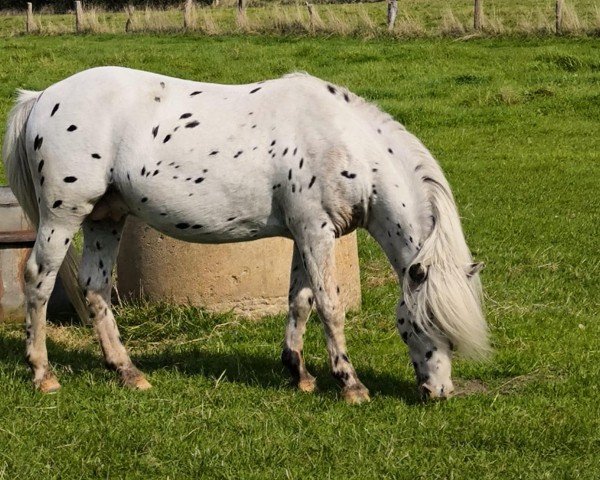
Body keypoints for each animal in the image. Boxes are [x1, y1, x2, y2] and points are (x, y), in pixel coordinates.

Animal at [2, 67, 488, 404]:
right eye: (425, 324)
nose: (439, 392)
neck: (342, 140)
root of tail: (41, 98)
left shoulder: (304, 234)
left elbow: (300, 301)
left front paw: (299, 374)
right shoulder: (316, 232)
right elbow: (329, 306)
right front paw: (351, 385)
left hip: (105, 218)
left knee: (96, 288)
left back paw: (128, 372)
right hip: (64, 216)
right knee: (38, 281)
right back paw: (43, 375)